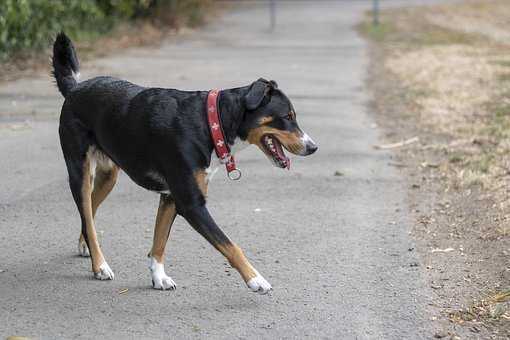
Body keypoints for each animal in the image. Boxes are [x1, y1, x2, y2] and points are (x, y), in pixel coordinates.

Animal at [51, 31, 314, 294]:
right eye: (287, 117)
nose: (313, 147)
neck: (210, 122)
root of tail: (75, 88)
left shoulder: (170, 197)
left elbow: (159, 243)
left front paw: (158, 277)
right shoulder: (191, 204)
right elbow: (231, 245)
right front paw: (256, 279)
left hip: (108, 176)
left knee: (89, 212)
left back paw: (85, 245)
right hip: (80, 173)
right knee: (87, 214)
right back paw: (100, 266)